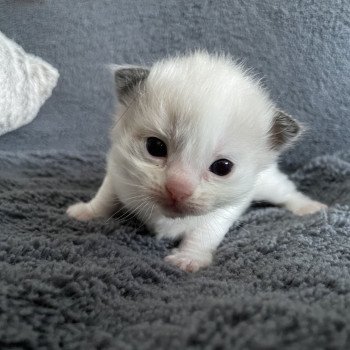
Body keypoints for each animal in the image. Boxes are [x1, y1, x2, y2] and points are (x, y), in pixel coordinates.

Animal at [65, 51, 326, 270]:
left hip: (269, 183)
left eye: (222, 167)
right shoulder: (118, 172)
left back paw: (310, 208)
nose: (177, 189)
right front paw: (86, 212)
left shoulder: (225, 209)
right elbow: (104, 198)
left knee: (287, 193)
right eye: (155, 147)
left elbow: (204, 233)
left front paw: (188, 259)